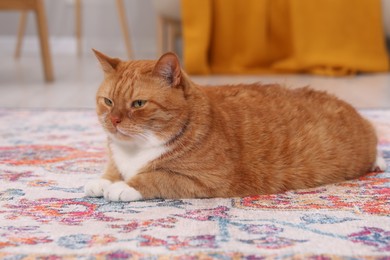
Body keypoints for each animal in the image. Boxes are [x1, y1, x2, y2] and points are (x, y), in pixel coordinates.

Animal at [84, 49, 386, 202]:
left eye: (138, 104)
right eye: (108, 101)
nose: (113, 121)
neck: (136, 150)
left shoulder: (208, 179)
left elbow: (157, 177)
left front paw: (124, 186)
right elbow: (112, 169)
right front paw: (104, 180)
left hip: (364, 143)